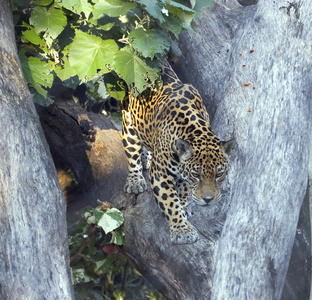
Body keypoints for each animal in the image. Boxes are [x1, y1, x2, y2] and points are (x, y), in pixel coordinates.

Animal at [122, 62, 234, 245]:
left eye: (219, 174)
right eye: (196, 175)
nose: (208, 200)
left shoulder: (183, 176)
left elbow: (182, 192)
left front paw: (184, 208)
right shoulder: (160, 175)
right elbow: (170, 201)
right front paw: (182, 230)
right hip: (129, 125)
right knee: (132, 154)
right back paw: (135, 180)